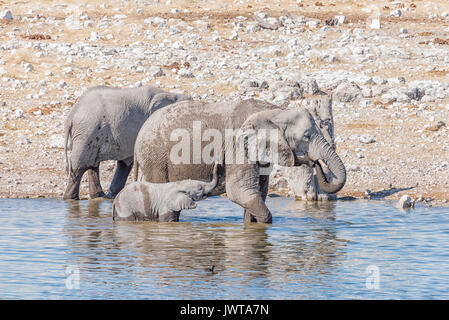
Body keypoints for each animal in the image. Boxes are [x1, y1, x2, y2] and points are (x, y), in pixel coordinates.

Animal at [61, 85, 191, 200]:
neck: (172, 95)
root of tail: (72, 114)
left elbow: (126, 162)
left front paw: (113, 195)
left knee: (92, 163)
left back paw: (100, 196)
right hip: (87, 132)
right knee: (80, 164)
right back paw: (71, 199)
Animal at [131, 99, 344, 224]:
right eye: (307, 136)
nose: (315, 163)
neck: (274, 112)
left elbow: (259, 191)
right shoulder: (237, 146)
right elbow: (239, 191)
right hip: (156, 160)